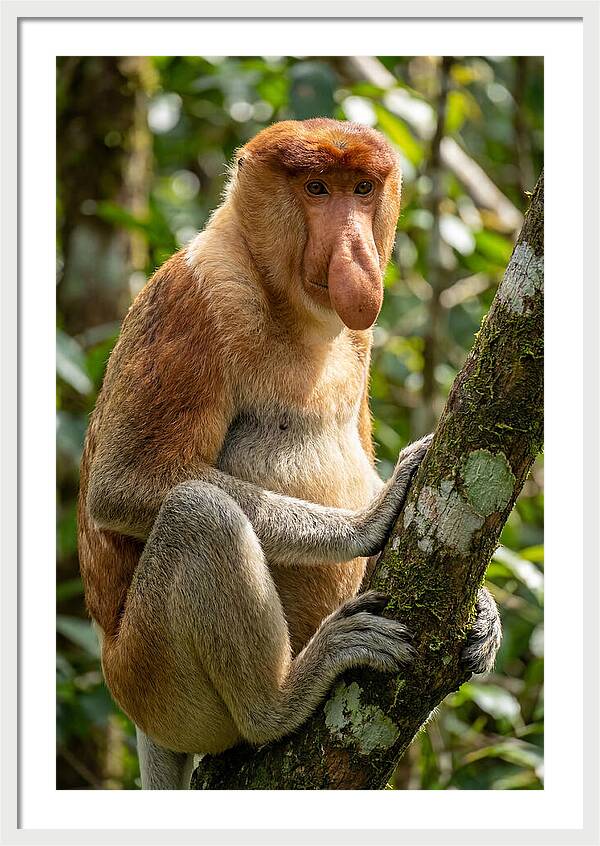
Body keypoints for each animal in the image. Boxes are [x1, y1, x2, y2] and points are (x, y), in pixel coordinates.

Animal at [77, 118, 501, 790]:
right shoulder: (197, 299)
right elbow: (123, 484)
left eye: (361, 188)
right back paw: (282, 698)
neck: (292, 307)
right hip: (151, 682)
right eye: (316, 189)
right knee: (200, 514)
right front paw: (369, 521)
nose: (355, 251)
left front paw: (484, 611)